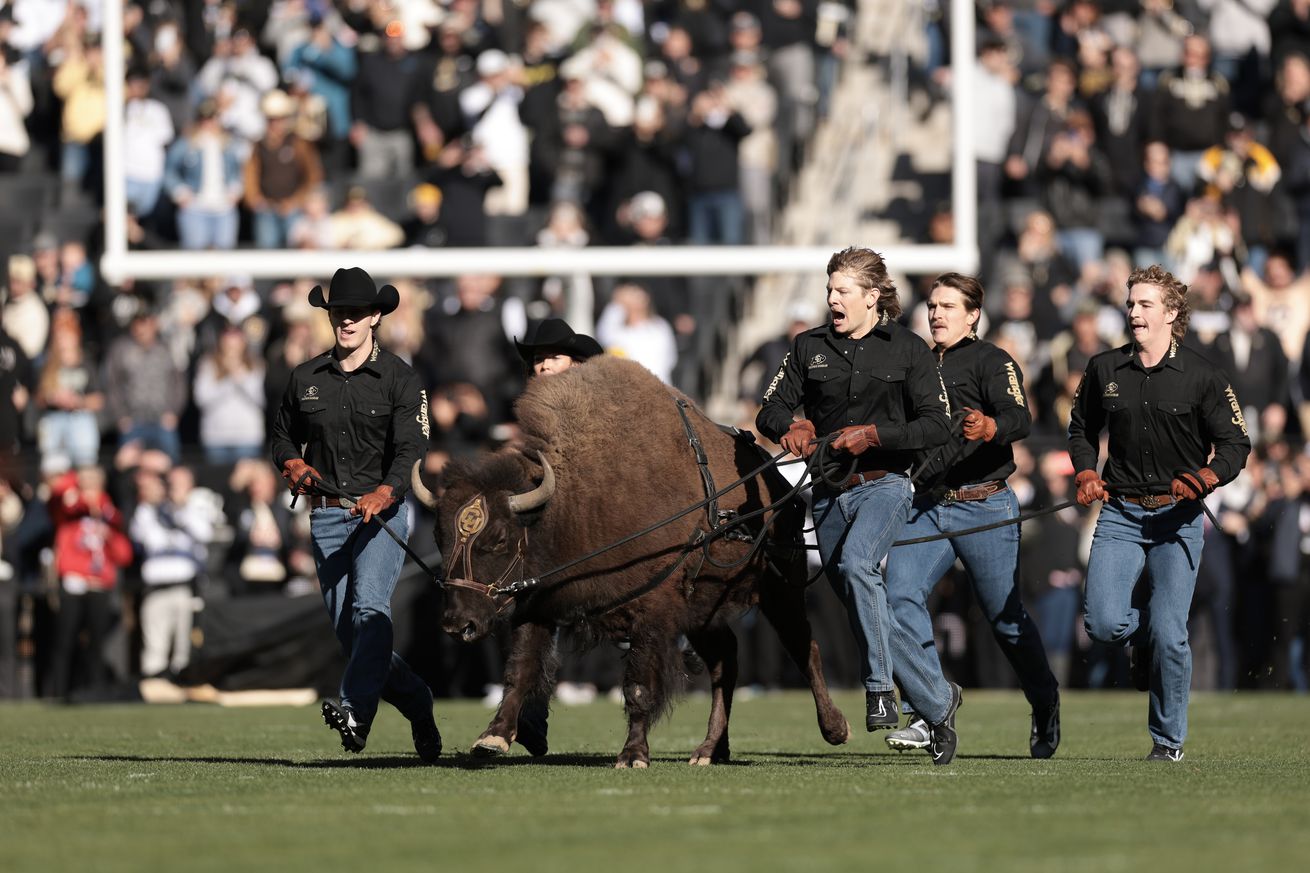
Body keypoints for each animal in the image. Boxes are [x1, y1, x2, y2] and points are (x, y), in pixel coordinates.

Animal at [413, 353, 854, 760]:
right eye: (439, 536)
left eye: (499, 538)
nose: (458, 624)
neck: (568, 505)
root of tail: (781, 486)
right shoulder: (537, 606)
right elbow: (519, 671)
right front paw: (492, 739)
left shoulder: (652, 613)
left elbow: (638, 686)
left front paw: (632, 755)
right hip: (703, 612)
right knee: (725, 662)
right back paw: (710, 749)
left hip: (780, 591)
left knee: (803, 645)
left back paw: (835, 728)